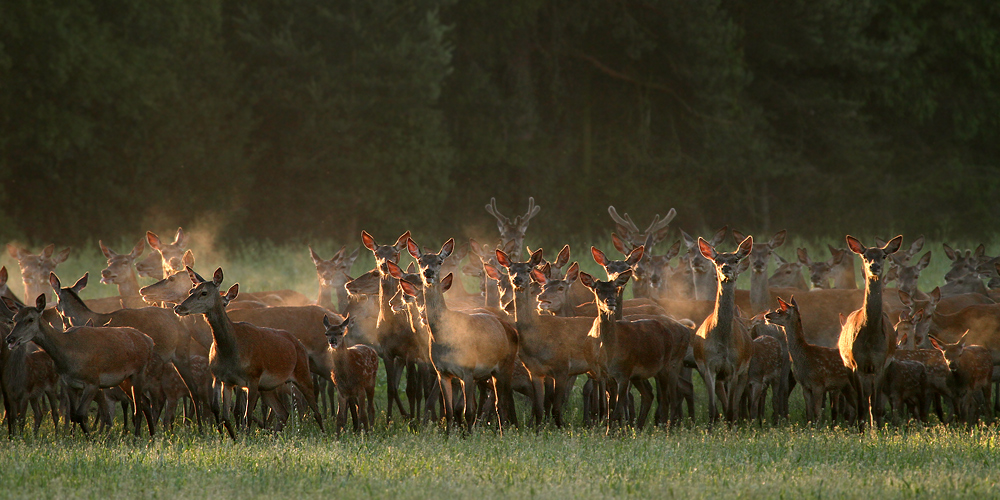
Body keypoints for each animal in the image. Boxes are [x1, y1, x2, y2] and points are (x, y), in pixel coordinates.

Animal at [2, 294, 155, 436]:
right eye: (14, 319)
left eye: (30, 319)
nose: (10, 338)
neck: (67, 355)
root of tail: (148, 340)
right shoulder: (70, 384)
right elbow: (73, 414)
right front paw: (75, 436)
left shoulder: (93, 381)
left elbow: (81, 414)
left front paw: (92, 438)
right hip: (124, 380)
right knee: (146, 403)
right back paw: (152, 436)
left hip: (138, 373)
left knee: (138, 409)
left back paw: (137, 437)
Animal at [174, 268, 322, 440]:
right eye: (191, 291)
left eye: (204, 292)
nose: (178, 308)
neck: (231, 351)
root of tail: (299, 343)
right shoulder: (225, 379)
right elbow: (224, 414)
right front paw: (232, 438)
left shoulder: (253, 377)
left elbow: (247, 415)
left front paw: (245, 438)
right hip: (267, 387)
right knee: (283, 413)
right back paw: (274, 437)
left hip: (302, 374)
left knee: (316, 410)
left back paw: (325, 434)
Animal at [832, 234, 904, 426]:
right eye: (865, 256)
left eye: (884, 256)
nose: (874, 266)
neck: (871, 338)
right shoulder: (857, 364)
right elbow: (861, 405)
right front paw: (861, 428)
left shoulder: (880, 364)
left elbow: (876, 406)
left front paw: (877, 429)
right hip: (849, 366)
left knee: (873, 400)